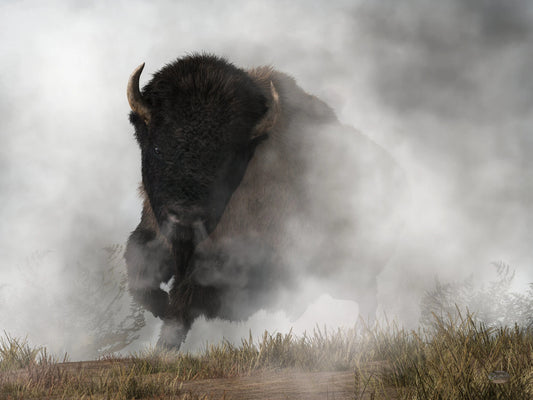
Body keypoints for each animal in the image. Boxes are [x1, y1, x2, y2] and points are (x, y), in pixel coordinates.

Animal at [122, 54, 404, 348]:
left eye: (228, 161)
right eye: (157, 147)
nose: (185, 218)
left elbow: (183, 304)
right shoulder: (152, 235)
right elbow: (140, 276)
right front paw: (160, 306)